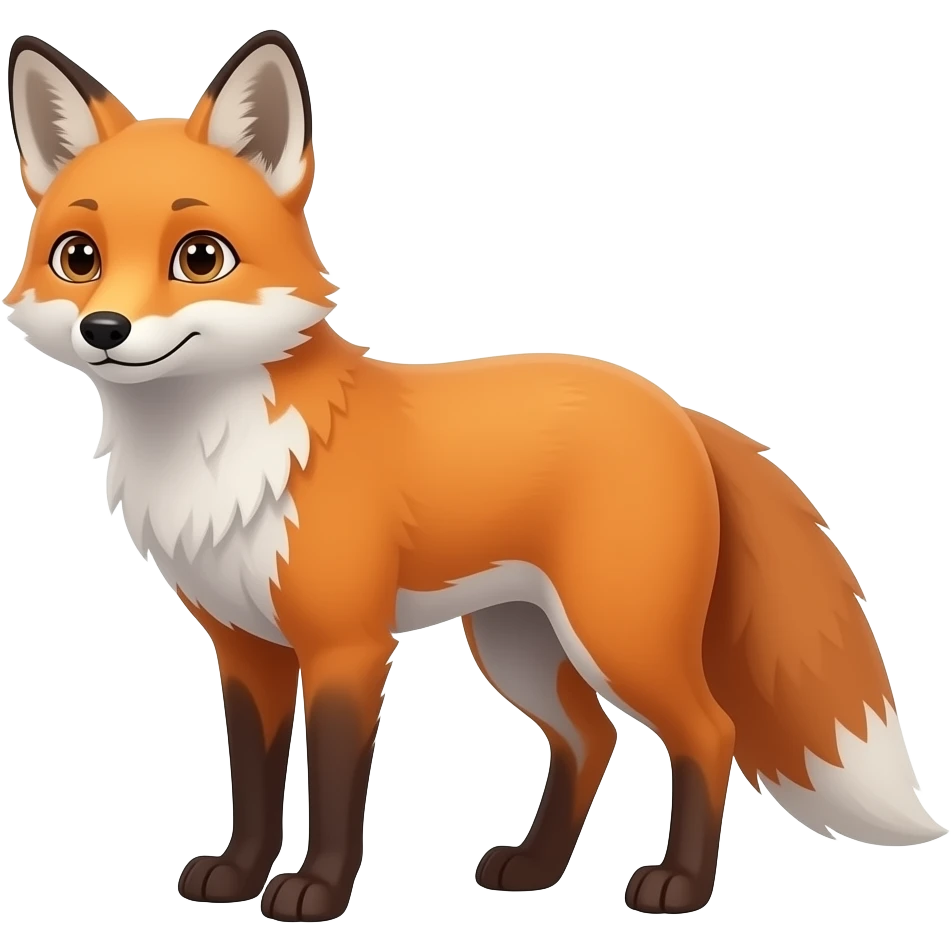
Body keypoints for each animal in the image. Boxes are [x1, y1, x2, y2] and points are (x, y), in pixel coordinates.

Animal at [3, 29, 946, 923]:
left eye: (201, 257)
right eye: (78, 256)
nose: (105, 329)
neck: (215, 452)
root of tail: (674, 407)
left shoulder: (347, 646)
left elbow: (336, 789)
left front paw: (316, 892)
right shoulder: (247, 648)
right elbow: (255, 781)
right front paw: (238, 877)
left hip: (618, 635)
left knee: (707, 732)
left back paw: (677, 885)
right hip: (518, 643)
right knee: (589, 739)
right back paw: (533, 869)